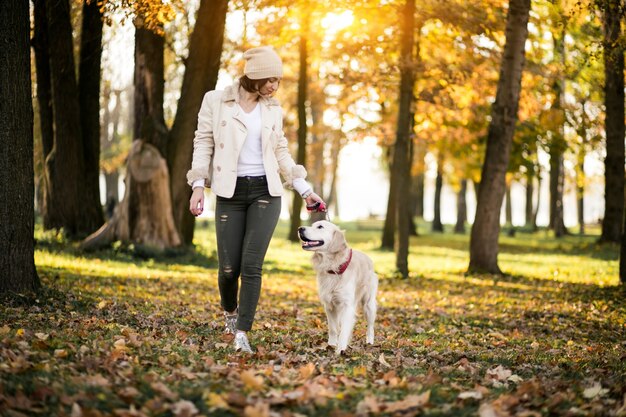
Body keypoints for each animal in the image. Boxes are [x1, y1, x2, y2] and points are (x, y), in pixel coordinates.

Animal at [296, 219, 378, 352]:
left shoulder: (347, 306)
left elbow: (344, 330)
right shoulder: (329, 306)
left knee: (370, 327)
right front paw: (331, 345)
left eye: (320, 227)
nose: (300, 228)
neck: (333, 267)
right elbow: (333, 328)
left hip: (368, 304)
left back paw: (370, 342)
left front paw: (340, 350)